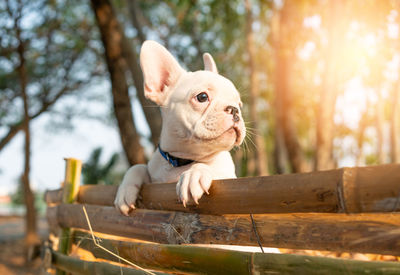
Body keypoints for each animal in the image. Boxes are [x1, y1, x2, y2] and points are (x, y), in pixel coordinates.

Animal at [114, 40, 245, 216]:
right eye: (202, 97)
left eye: (239, 104)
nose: (234, 109)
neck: (182, 160)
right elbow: (138, 166)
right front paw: (124, 189)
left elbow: (212, 167)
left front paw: (194, 174)